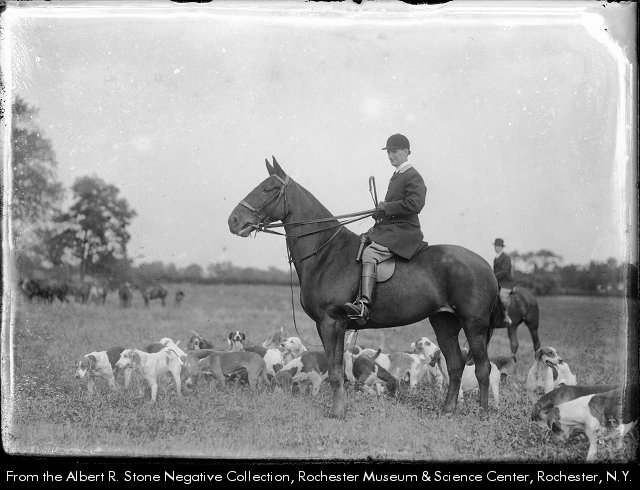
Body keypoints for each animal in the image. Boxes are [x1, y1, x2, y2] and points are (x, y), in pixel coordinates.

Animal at [227, 157, 503, 418]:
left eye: (269, 188)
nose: (233, 221)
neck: (325, 252)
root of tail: (485, 265)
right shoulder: (331, 325)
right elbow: (337, 369)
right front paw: (340, 408)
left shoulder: (330, 322)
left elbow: (336, 371)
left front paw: (338, 413)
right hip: (444, 323)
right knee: (456, 365)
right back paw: (447, 411)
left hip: (474, 324)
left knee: (483, 368)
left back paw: (483, 413)